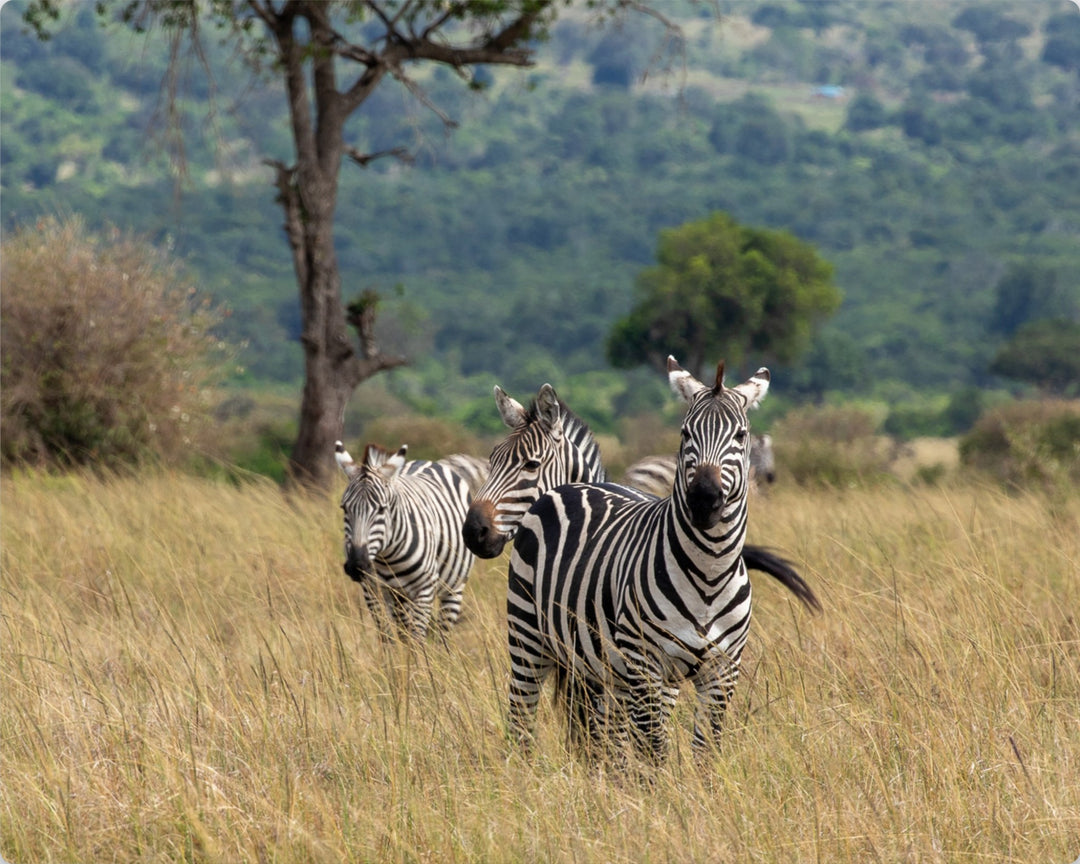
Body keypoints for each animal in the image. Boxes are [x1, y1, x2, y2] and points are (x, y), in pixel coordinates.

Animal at [337, 441, 474, 639]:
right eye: (344, 508)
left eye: (381, 509)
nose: (357, 565)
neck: (387, 557)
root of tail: (431, 462)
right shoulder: (371, 590)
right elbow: (387, 636)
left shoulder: (425, 589)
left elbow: (417, 638)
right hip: (400, 597)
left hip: (454, 588)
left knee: (443, 633)